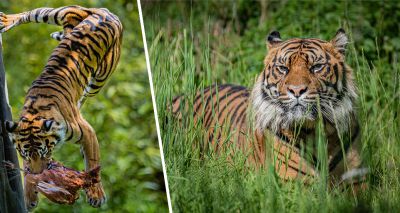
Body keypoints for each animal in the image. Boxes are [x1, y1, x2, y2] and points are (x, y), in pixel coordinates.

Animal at [0, 5, 122, 210]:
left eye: (44, 152)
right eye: (25, 154)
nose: (39, 174)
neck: (34, 113)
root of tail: (103, 10)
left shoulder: (87, 132)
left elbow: (93, 163)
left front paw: (96, 195)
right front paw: (29, 197)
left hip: (98, 80)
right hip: (55, 13)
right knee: (29, 14)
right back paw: (6, 21)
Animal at [172, 29, 366, 188]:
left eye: (317, 67)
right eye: (283, 68)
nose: (297, 90)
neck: (316, 131)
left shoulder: (356, 181)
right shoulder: (293, 184)